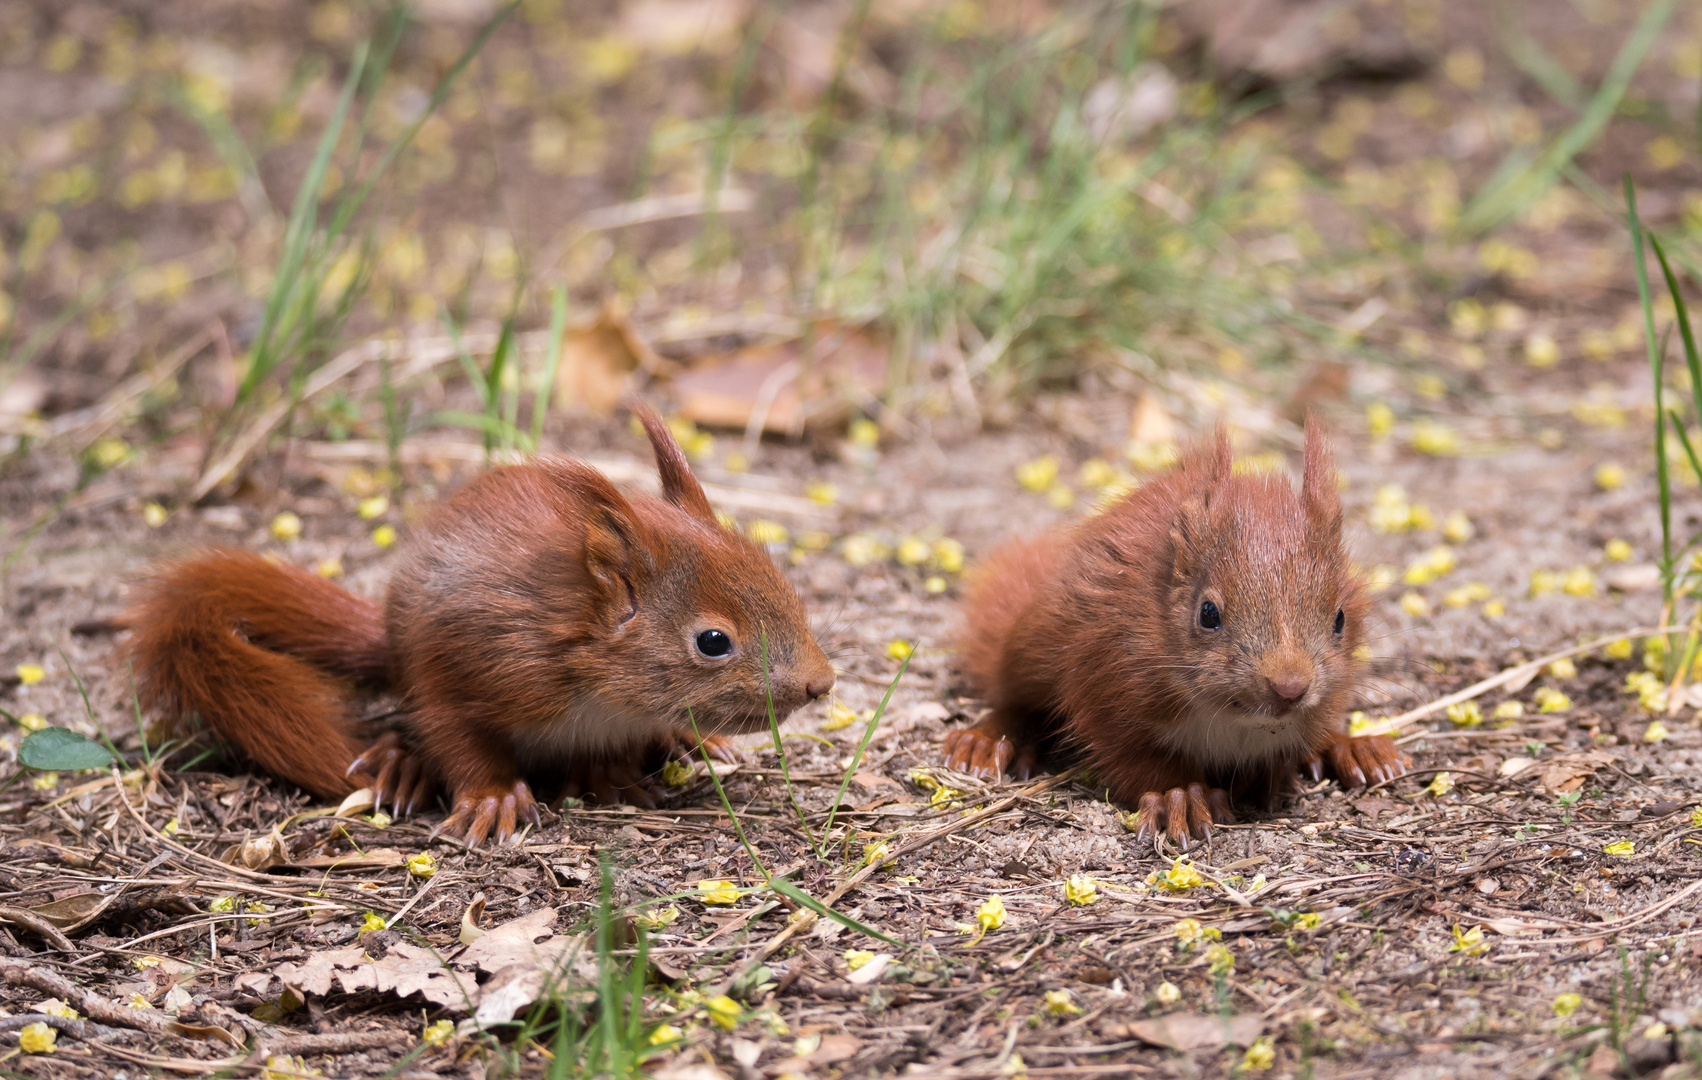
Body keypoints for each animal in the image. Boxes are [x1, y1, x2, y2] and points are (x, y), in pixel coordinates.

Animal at [123, 403, 833, 843]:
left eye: (779, 577)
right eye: (713, 642)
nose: (821, 683)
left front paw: (614, 768)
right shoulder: (471, 662)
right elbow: (455, 733)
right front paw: (494, 799)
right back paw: (400, 763)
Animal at [946, 418, 1409, 850]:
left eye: (1341, 619)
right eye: (1207, 613)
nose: (1290, 688)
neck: (1235, 718)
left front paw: (1295, 764)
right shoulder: (1105, 678)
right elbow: (1134, 757)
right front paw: (1181, 796)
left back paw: (1353, 747)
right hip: (1033, 647)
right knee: (1016, 699)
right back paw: (986, 739)